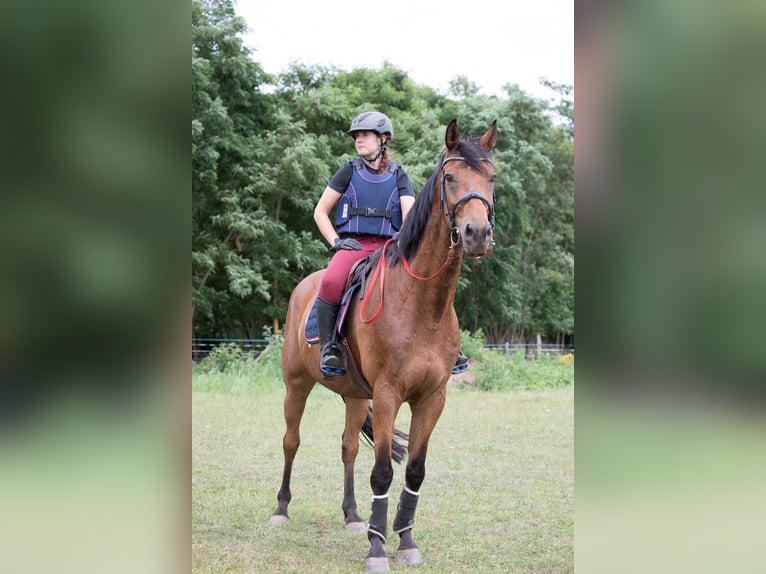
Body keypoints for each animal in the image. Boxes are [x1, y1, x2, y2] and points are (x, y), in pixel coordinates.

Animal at [270, 119, 498, 572]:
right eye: (449, 178)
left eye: (492, 178)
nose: (478, 234)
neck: (421, 304)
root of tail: (304, 286)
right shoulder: (390, 394)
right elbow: (382, 474)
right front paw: (377, 549)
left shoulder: (432, 398)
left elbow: (413, 471)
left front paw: (405, 540)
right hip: (296, 385)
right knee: (292, 441)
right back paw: (281, 509)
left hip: (357, 396)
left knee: (347, 448)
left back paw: (353, 515)